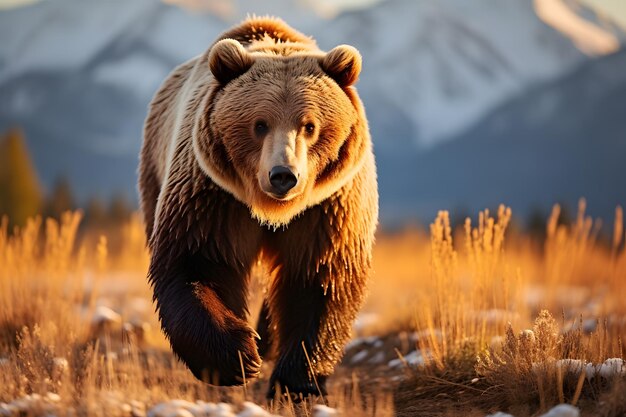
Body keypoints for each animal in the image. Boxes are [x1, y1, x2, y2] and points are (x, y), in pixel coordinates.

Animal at [138, 17, 376, 398]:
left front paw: (297, 380)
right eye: (259, 124)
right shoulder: (214, 197)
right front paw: (238, 357)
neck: (271, 211)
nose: (283, 176)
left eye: (310, 125)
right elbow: (198, 263)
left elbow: (320, 277)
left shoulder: (327, 207)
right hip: (155, 169)